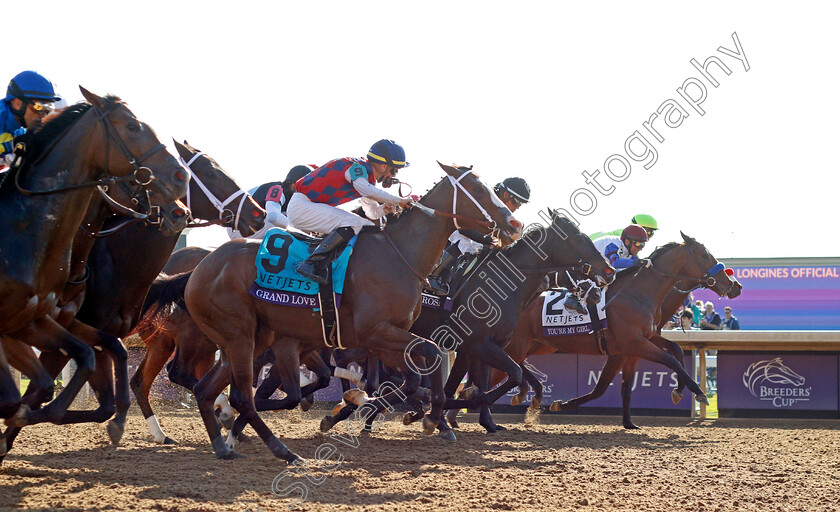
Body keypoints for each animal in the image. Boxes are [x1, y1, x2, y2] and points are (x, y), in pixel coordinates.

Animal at [150, 164, 520, 460]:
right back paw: (278, 449)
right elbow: (424, 359)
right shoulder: (375, 332)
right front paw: (429, 416)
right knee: (239, 395)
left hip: (249, 339)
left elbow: (412, 377)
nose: (513, 223)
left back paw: (223, 444)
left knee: (206, 390)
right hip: (238, 336)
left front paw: (420, 414)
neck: (399, 254)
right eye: (478, 190)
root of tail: (200, 268)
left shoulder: (389, 336)